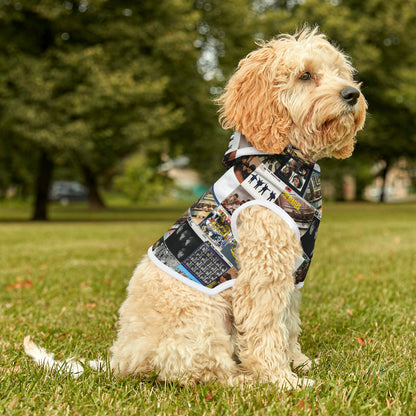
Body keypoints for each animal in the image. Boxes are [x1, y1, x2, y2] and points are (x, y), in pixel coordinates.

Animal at [24, 27, 366, 388]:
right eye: (305, 75)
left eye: (340, 72)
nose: (352, 94)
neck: (285, 161)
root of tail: (121, 359)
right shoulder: (262, 274)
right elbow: (266, 329)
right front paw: (281, 380)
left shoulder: (291, 273)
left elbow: (288, 324)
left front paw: (299, 363)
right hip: (202, 319)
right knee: (201, 371)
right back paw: (244, 380)